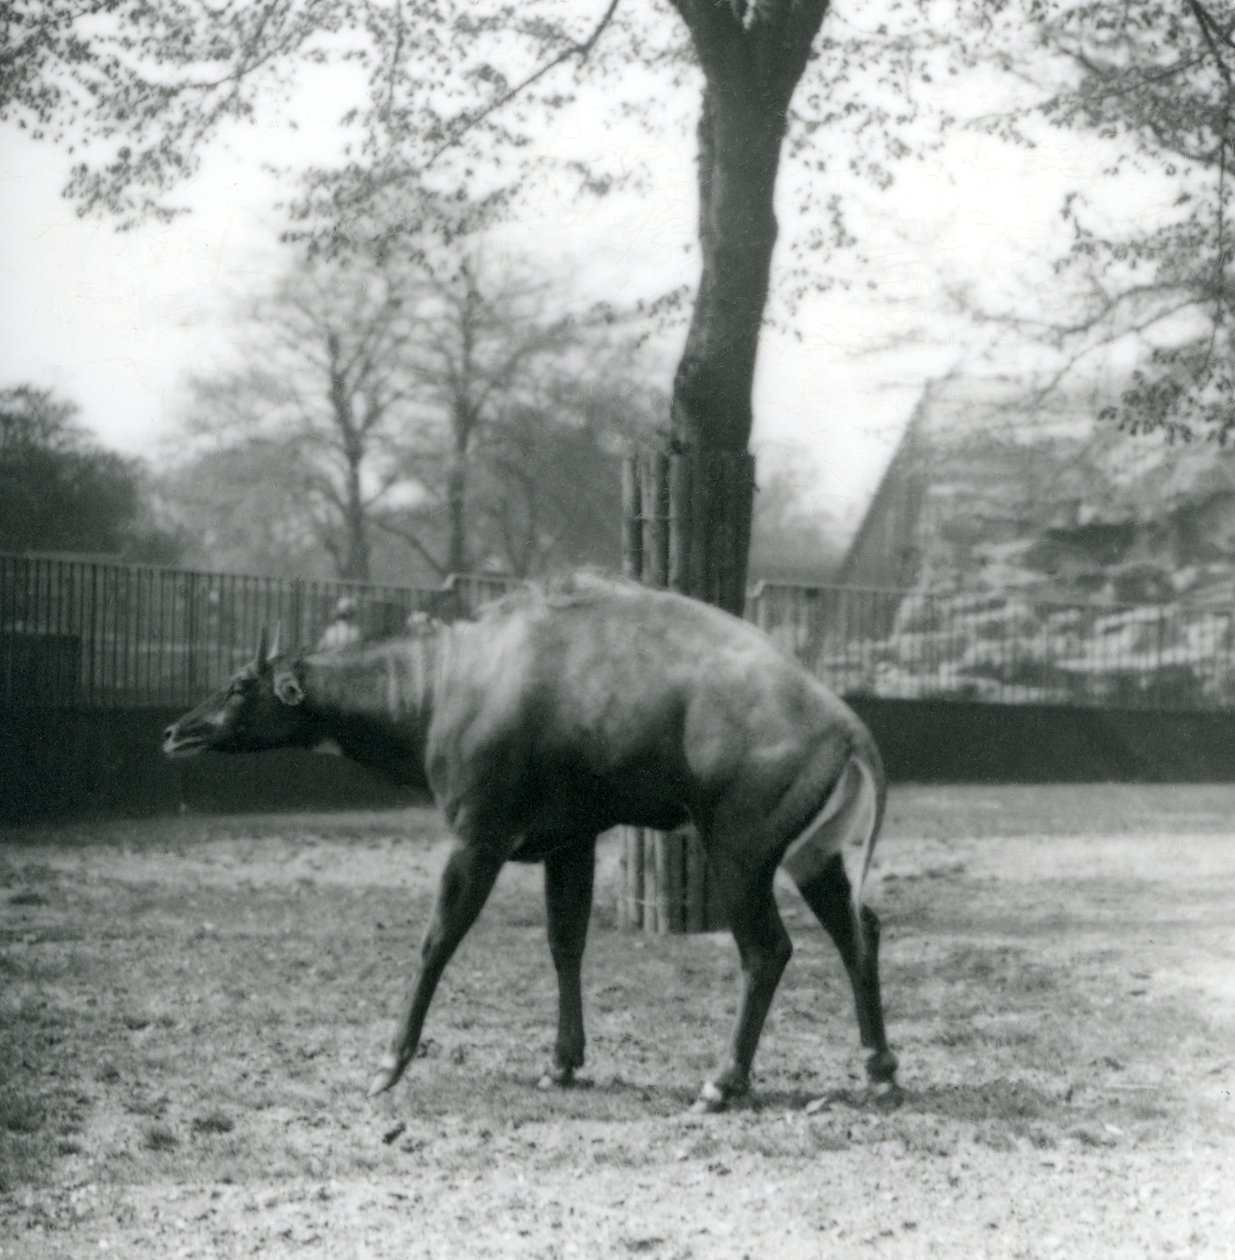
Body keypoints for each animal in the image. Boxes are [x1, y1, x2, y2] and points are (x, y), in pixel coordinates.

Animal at [163, 574, 897, 1113]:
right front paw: (562, 1064)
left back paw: (722, 1082)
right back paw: (880, 1068)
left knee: (767, 950)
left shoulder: (478, 836)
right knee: (858, 928)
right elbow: (564, 943)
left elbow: (437, 940)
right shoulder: (570, 843)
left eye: (240, 684)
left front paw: (388, 1064)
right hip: (811, 856)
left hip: (737, 854)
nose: (175, 732)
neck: (445, 680)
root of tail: (851, 728)